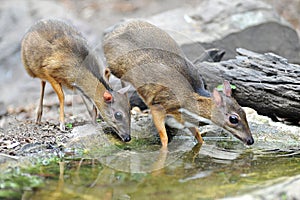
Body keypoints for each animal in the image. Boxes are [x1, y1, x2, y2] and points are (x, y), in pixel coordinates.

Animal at [103, 19, 253, 147]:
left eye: (244, 112)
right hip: (118, 65)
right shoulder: (158, 106)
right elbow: (164, 139)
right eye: (233, 119)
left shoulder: (184, 121)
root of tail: (110, 35)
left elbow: (199, 137)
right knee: (106, 70)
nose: (251, 140)